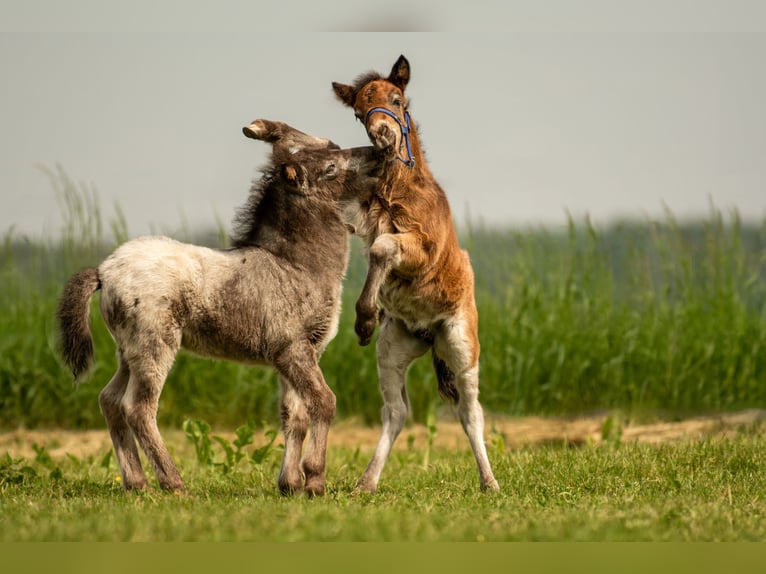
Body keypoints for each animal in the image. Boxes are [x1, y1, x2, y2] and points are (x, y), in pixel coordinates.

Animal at [332, 55, 500, 496]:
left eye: (397, 99)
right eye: (359, 112)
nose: (384, 137)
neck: (397, 189)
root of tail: (428, 335)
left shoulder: (423, 248)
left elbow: (383, 247)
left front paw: (365, 317)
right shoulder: (356, 215)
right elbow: (373, 241)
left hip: (460, 342)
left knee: (469, 410)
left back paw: (490, 482)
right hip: (392, 349)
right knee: (396, 412)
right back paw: (366, 482)